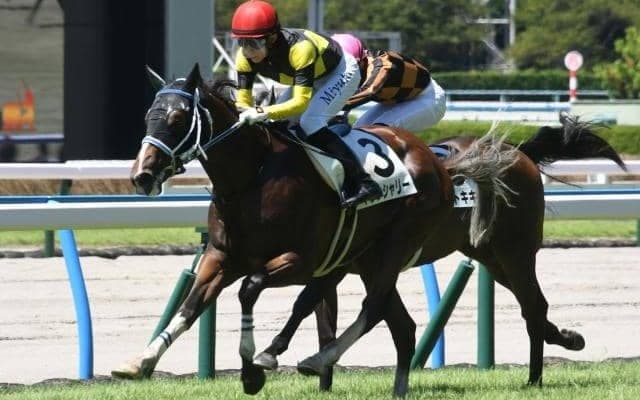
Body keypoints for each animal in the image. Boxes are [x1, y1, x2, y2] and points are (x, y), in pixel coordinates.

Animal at [112, 63, 626, 397]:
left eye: (178, 118)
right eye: (148, 116)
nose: (141, 174)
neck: (254, 175)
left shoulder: (301, 261)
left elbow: (253, 290)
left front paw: (257, 366)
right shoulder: (223, 256)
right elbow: (191, 305)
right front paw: (140, 362)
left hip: (493, 249)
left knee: (399, 307)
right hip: (465, 256)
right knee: (416, 322)